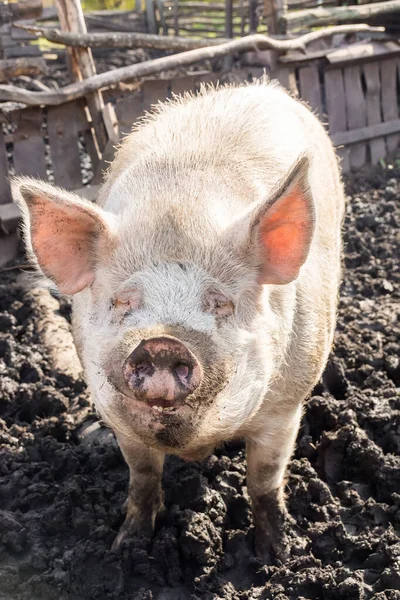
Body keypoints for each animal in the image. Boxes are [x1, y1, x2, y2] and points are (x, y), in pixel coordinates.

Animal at [12, 81, 344, 564]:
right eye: (122, 300)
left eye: (221, 303)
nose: (162, 343)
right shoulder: (120, 422)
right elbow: (142, 478)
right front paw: (126, 547)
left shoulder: (284, 406)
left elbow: (264, 479)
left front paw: (278, 556)